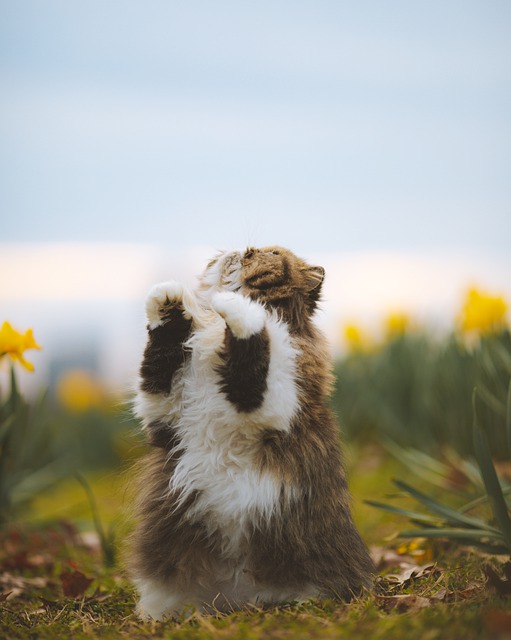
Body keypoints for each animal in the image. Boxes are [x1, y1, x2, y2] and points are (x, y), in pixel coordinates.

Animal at [130, 246, 374, 620]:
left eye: (268, 253)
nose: (238, 252)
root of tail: (238, 600)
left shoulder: (270, 400)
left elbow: (255, 340)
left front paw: (233, 304)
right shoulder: (162, 408)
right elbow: (160, 351)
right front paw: (167, 298)